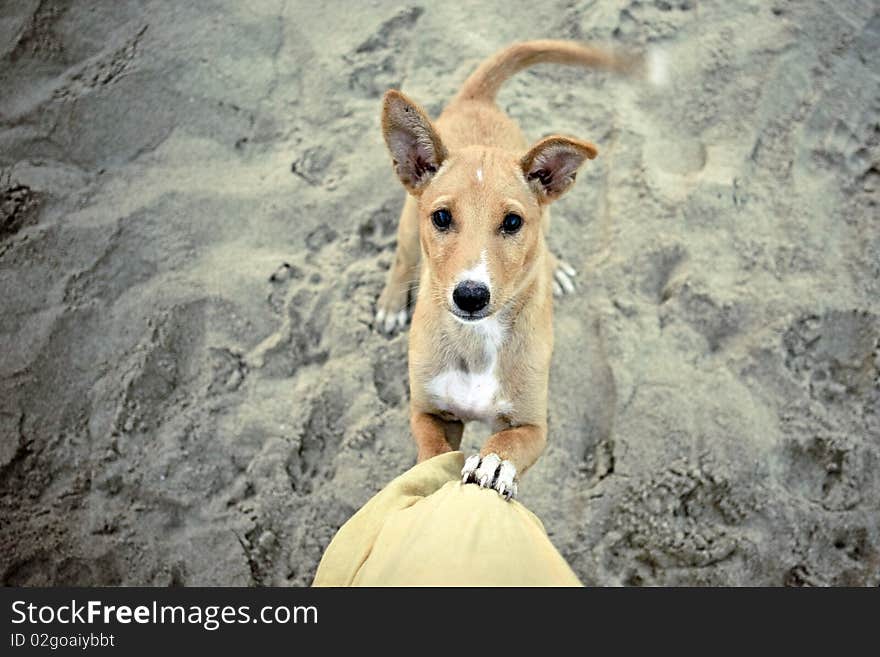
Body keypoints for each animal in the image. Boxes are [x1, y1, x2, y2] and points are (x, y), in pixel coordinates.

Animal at [376, 39, 640, 498]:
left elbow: (510, 441)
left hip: (546, 215)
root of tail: (476, 99)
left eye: (513, 222)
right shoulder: (427, 411)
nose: (470, 295)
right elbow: (431, 450)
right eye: (442, 217)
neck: (477, 339)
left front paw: (495, 462)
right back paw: (392, 302)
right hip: (409, 224)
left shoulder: (533, 425)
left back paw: (553, 268)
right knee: (402, 257)